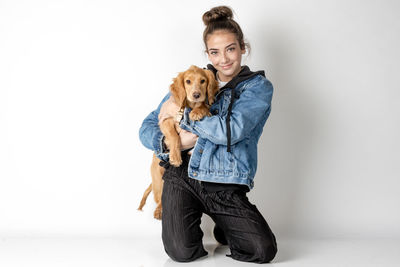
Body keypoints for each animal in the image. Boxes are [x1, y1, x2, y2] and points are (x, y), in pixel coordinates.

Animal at [138, 66, 219, 221]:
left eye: (203, 81)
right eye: (188, 81)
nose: (196, 95)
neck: (189, 106)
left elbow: (204, 108)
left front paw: (198, 111)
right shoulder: (166, 120)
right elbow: (174, 136)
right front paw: (175, 157)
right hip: (158, 177)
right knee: (160, 197)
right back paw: (159, 211)